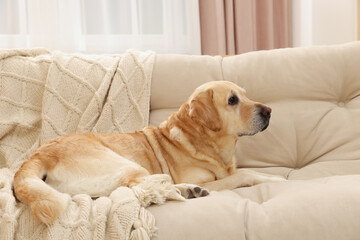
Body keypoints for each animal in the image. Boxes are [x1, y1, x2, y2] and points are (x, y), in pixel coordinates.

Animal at [13, 81, 284, 225]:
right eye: (232, 100)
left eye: (245, 95)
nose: (269, 111)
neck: (203, 140)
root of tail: (37, 155)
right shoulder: (216, 180)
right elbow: (245, 174)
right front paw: (275, 178)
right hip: (124, 163)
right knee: (139, 188)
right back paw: (188, 190)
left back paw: (188, 191)